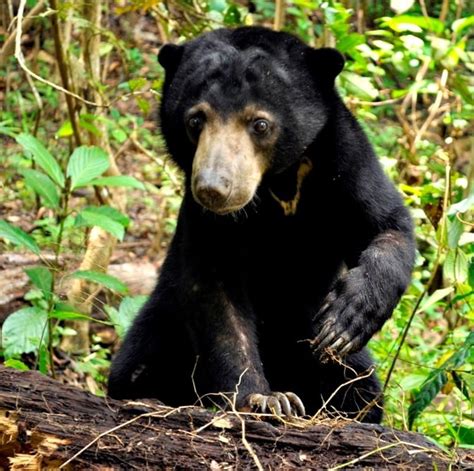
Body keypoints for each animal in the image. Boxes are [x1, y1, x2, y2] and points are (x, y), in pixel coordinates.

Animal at [108, 25, 414, 424]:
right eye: (195, 120)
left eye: (260, 123)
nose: (214, 188)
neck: (277, 185)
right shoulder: (204, 223)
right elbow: (217, 300)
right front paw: (267, 400)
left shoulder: (345, 163)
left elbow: (387, 226)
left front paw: (346, 321)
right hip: (162, 320)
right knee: (135, 367)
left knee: (360, 388)